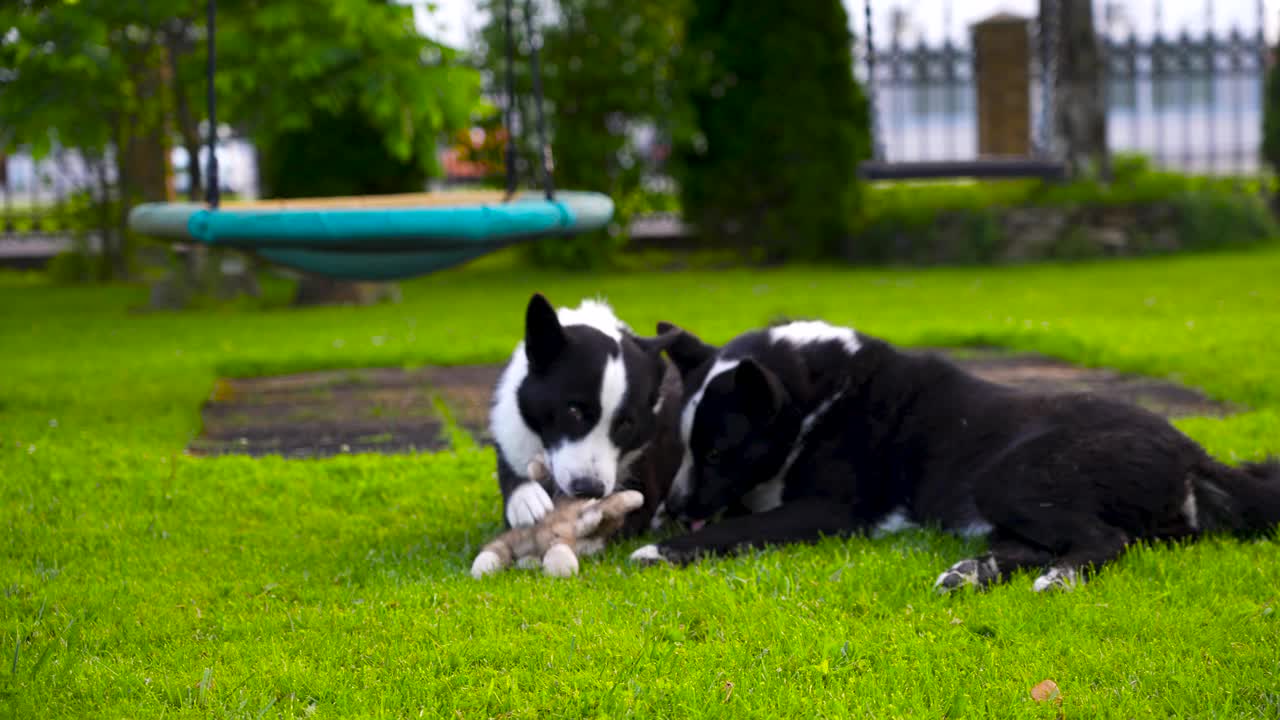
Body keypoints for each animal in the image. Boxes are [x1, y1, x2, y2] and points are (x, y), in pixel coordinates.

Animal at [632, 319, 1280, 589]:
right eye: (687, 448)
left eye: (719, 452)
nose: (676, 507)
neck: (818, 397)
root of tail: (1191, 452)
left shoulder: (833, 511)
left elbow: (739, 529)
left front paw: (661, 549)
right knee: (1045, 542)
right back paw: (974, 572)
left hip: (1011, 475)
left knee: (1103, 540)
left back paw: (1059, 578)